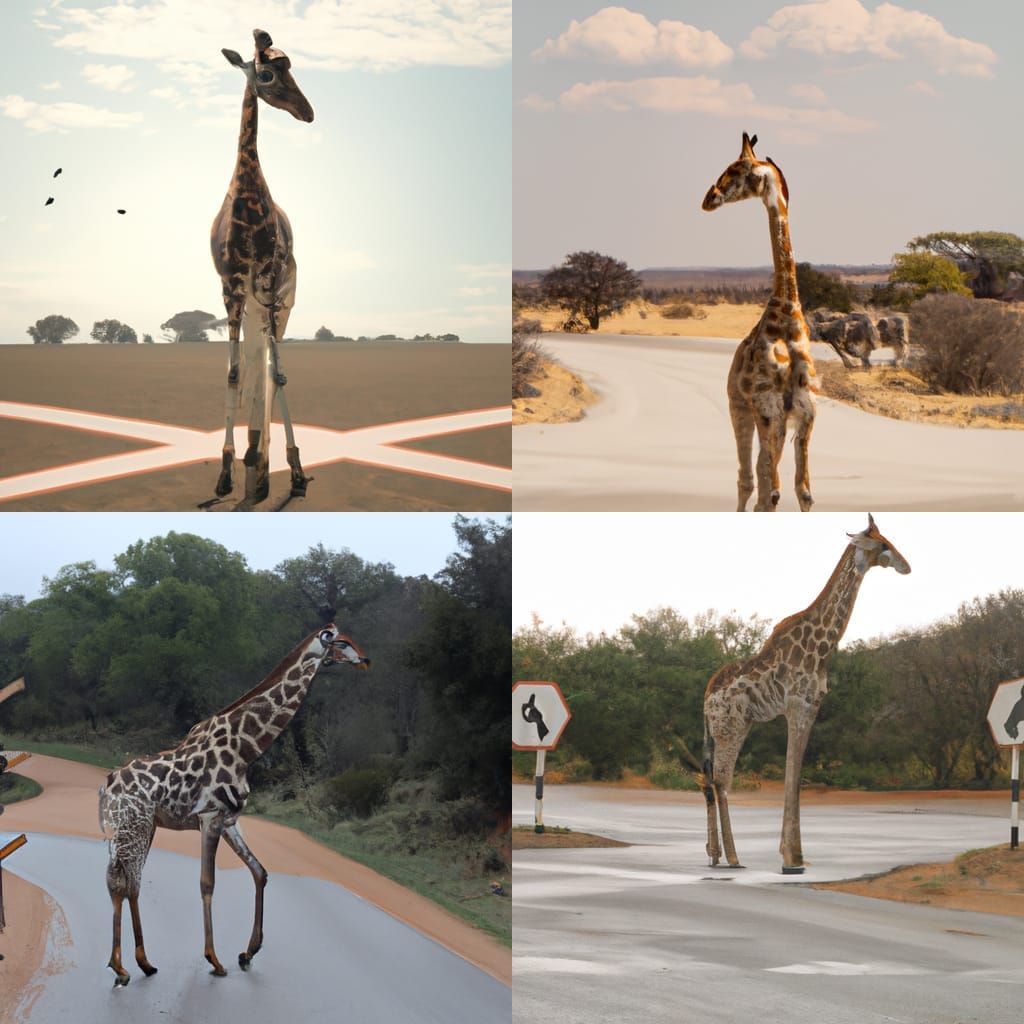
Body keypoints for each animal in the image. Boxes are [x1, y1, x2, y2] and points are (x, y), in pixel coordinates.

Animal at [98, 624, 369, 985]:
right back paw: (122, 967)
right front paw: (215, 960)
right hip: (134, 825)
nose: (365, 660)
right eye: (341, 641)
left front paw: (247, 953)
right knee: (123, 879)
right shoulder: (209, 818)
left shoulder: (229, 820)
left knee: (128, 880)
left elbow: (260, 871)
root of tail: (110, 782)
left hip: (142, 826)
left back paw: (142, 964)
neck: (247, 748)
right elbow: (207, 883)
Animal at [702, 132, 817, 512]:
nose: (709, 198)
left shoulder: (805, 412)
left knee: (760, 480)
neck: (788, 317)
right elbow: (771, 492)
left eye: (738, 168)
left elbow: (803, 491)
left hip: (768, 420)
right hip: (740, 408)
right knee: (748, 480)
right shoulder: (767, 408)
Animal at [702, 515, 910, 872]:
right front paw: (792, 857)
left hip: (730, 728)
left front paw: (793, 854)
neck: (824, 645)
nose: (906, 566)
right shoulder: (798, 705)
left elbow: (795, 773)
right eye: (883, 544)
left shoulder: (811, 706)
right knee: (720, 782)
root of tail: (705, 700)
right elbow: (793, 773)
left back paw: (715, 855)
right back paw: (733, 857)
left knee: (712, 780)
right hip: (731, 727)